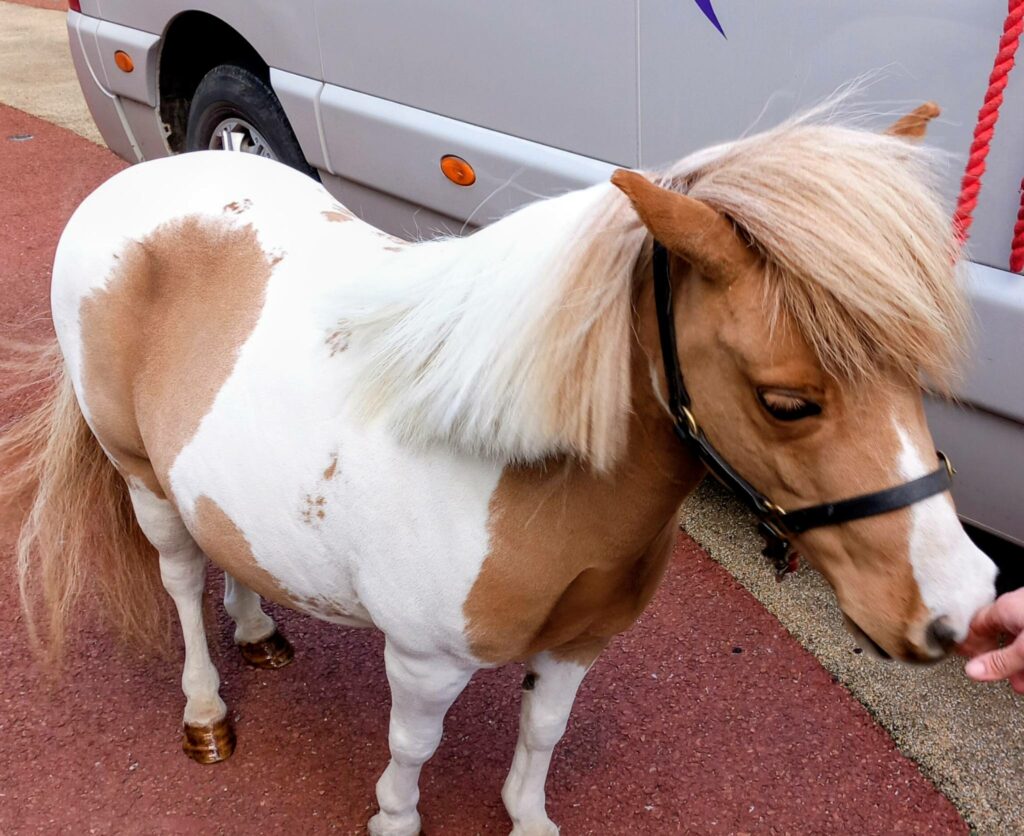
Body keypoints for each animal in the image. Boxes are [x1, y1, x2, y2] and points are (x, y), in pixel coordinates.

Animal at [1, 102, 996, 835]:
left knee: (228, 550)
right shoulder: (423, 662)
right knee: (179, 578)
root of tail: (137, 181)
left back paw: (257, 631)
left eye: (917, 376)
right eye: (786, 401)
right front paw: (394, 821)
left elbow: (543, 730)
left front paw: (527, 813)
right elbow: (412, 752)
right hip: (141, 478)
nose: (959, 607)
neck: (516, 466)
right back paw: (207, 713)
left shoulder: (579, 645)